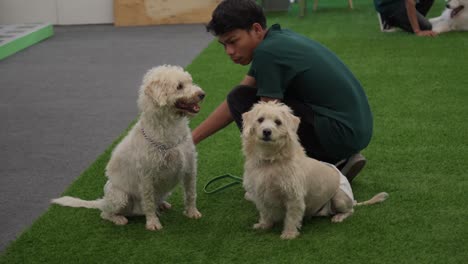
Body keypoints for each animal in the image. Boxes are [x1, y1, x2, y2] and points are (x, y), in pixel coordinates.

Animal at [52, 65, 204, 230]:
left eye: (190, 82)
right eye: (179, 86)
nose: (202, 94)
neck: (168, 128)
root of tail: (102, 201)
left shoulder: (190, 168)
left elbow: (191, 194)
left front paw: (192, 212)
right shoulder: (146, 177)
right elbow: (149, 203)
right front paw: (152, 223)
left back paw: (162, 204)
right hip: (119, 196)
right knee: (105, 213)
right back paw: (119, 219)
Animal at [241, 101, 388, 239]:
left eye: (278, 122)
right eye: (260, 120)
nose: (266, 131)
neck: (271, 159)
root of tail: (353, 200)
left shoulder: (294, 197)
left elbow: (291, 217)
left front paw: (289, 234)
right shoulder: (259, 193)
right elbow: (265, 212)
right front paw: (264, 225)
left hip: (339, 197)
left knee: (350, 211)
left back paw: (339, 217)